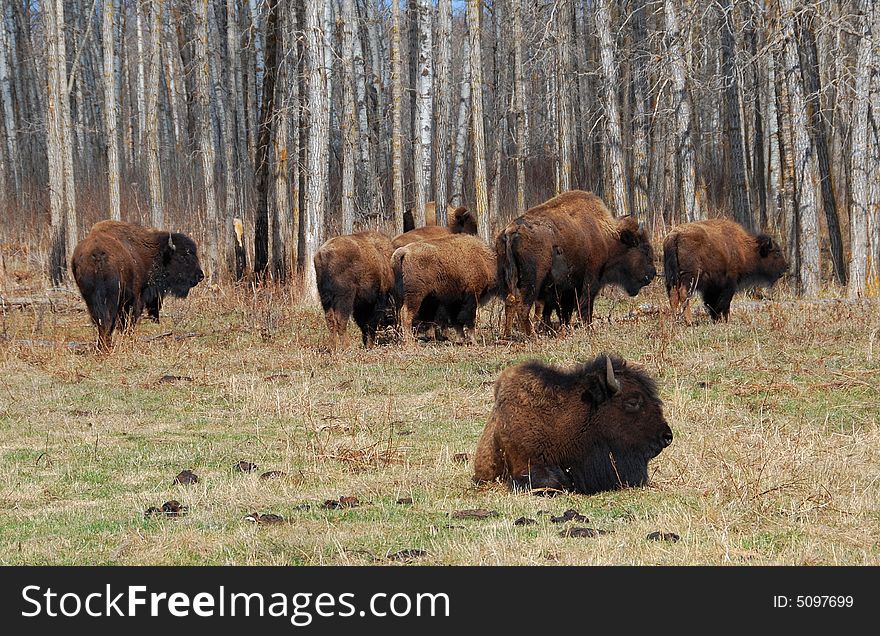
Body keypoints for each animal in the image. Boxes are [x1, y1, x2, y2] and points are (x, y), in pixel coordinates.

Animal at [70, 220, 205, 350]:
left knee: (100, 321)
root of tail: (97, 254)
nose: (200, 276)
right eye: (183, 256)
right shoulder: (138, 296)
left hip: (90, 298)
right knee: (109, 320)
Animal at [498, 190, 656, 336]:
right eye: (645, 249)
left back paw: (508, 334)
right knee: (523, 306)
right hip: (532, 281)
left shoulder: (566, 289)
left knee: (510, 301)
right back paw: (532, 336)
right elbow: (585, 306)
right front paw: (589, 328)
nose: (653, 273)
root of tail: (511, 231)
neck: (606, 236)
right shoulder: (590, 281)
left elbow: (563, 311)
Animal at [660, 220, 792, 328]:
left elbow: (711, 302)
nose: (786, 267)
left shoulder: (712, 287)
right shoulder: (729, 283)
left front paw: (716, 319)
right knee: (683, 294)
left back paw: (676, 319)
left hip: (671, 277)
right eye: (777, 252)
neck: (744, 248)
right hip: (690, 277)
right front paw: (724, 319)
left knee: (673, 295)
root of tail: (674, 236)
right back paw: (689, 322)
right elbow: (724, 302)